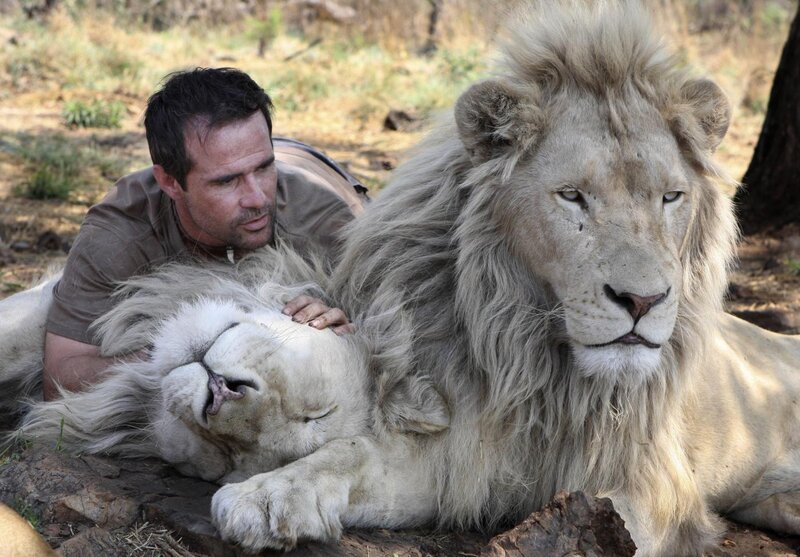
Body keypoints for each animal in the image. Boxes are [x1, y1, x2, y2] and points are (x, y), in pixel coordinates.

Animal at [206, 2, 800, 556]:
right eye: (572, 196)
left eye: (671, 197)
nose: (642, 300)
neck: (540, 368)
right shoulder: (458, 451)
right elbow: (348, 453)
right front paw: (266, 496)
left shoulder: (655, 491)